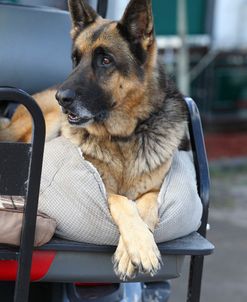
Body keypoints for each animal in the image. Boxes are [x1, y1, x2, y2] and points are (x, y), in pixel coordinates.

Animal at [0, 0, 187, 280]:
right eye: (75, 60)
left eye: (105, 60)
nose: (61, 98)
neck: (123, 137)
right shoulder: (103, 187)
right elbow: (121, 201)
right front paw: (137, 248)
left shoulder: (155, 190)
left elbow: (146, 205)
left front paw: (138, 249)